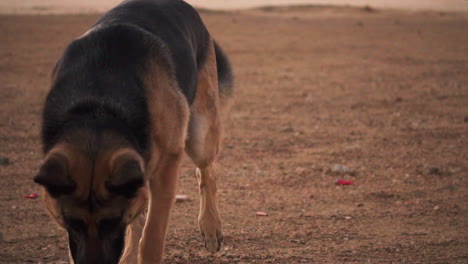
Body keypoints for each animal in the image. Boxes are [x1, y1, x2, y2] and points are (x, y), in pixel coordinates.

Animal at [32, 1, 233, 262]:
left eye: (111, 222)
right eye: (71, 223)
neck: (98, 107)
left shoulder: (165, 169)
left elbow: (151, 238)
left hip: (200, 135)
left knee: (206, 172)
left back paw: (211, 227)